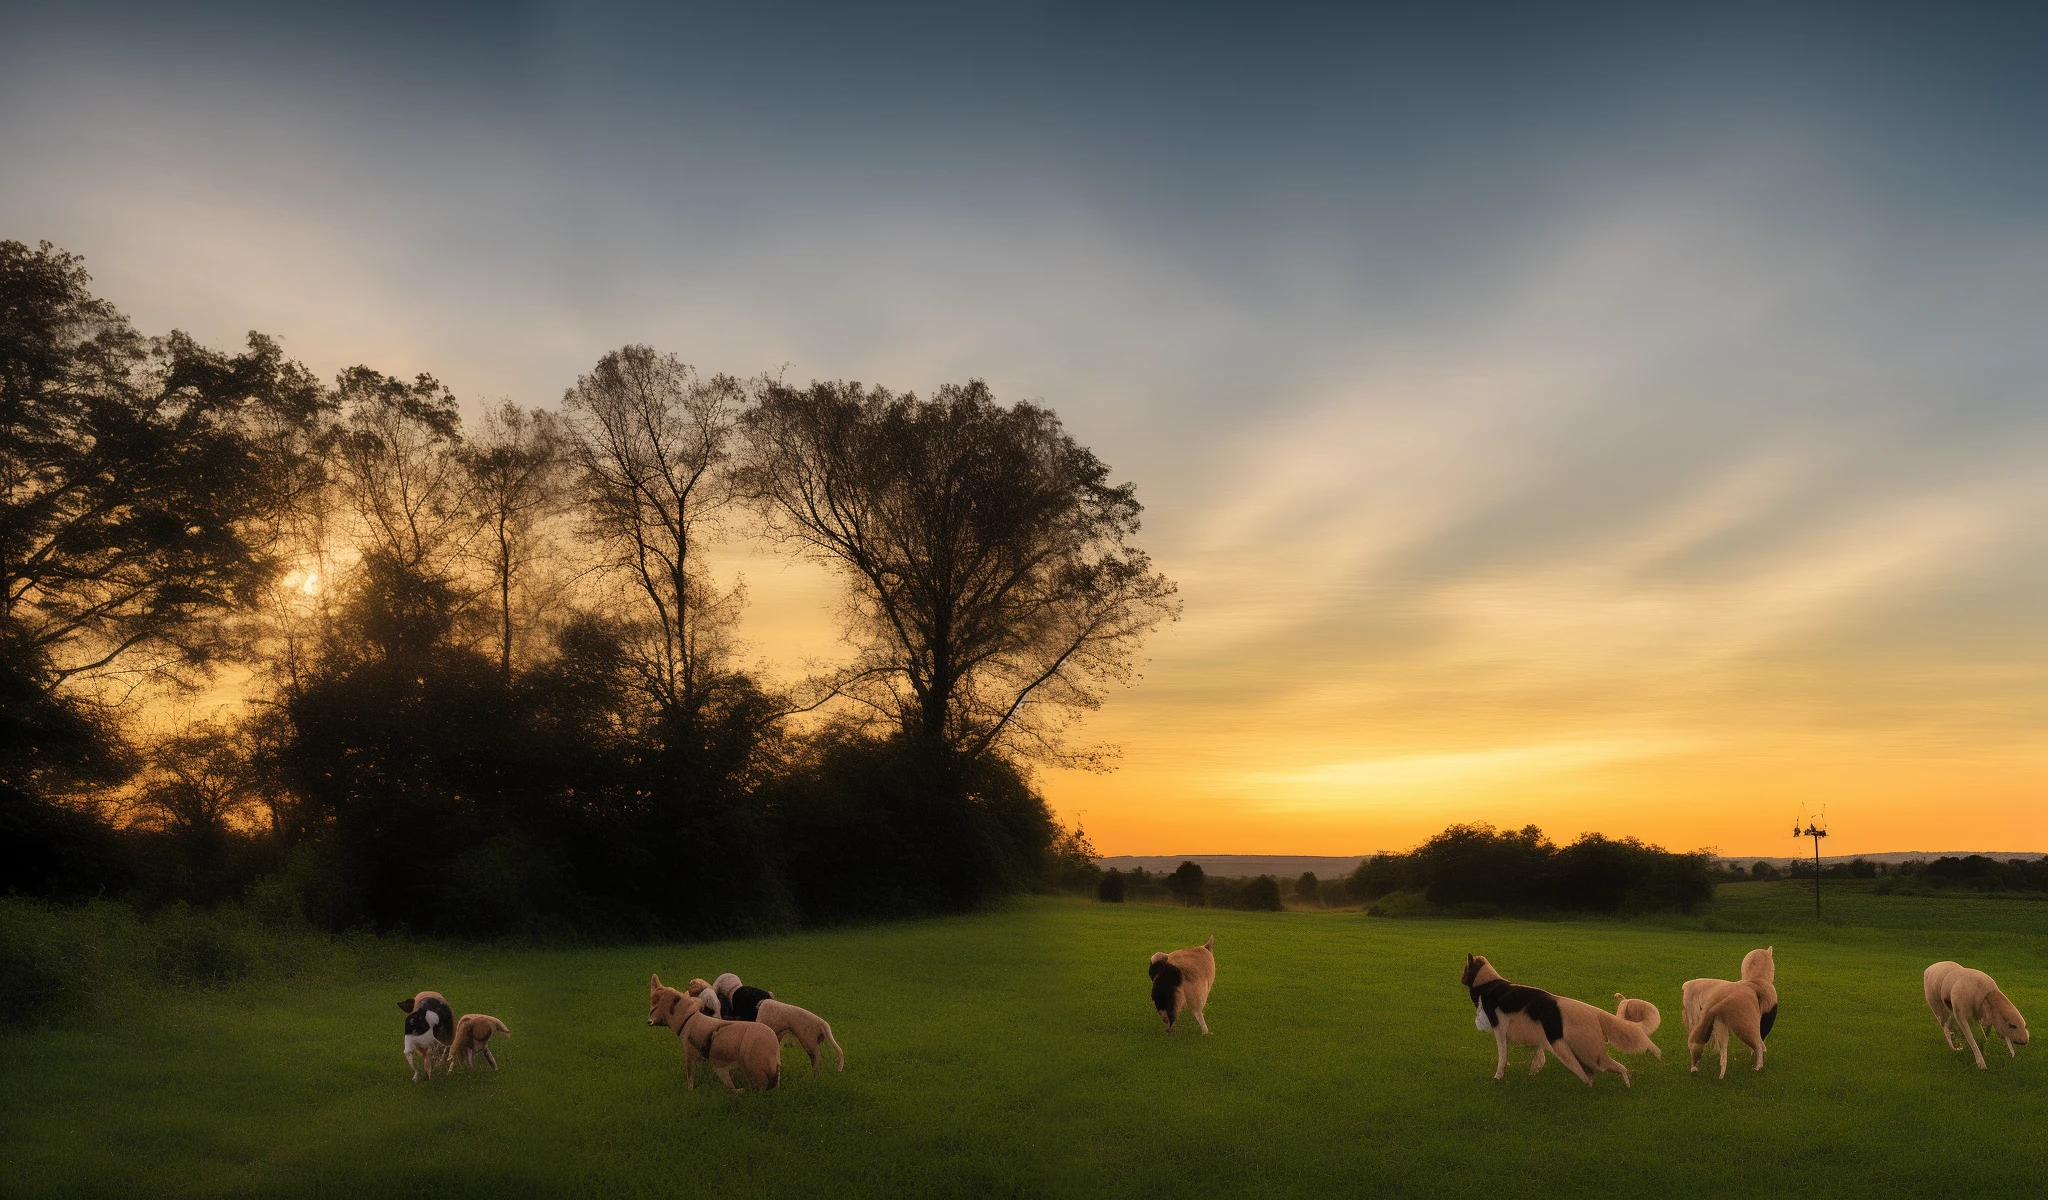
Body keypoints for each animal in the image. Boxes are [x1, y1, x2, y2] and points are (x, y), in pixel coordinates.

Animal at [1458, 954, 1662, 1081]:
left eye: (1464, 969)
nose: (1460, 978)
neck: (1488, 982)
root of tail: (1593, 1012)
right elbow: (1525, 1054)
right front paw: (1532, 1068)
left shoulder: (1499, 1028)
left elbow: (1502, 1057)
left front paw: (1498, 1076)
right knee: (1609, 1069)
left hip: (1577, 1052)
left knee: (1594, 1074)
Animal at [1679, 941, 1777, 1073]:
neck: (1755, 979)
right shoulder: (1766, 1016)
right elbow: (1762, 1038)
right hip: (1744, 1024)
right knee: (1757, 1044)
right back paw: (1757, 1066)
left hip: (1699, 1020)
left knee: (1696, 1041)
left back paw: (1695, 1067)